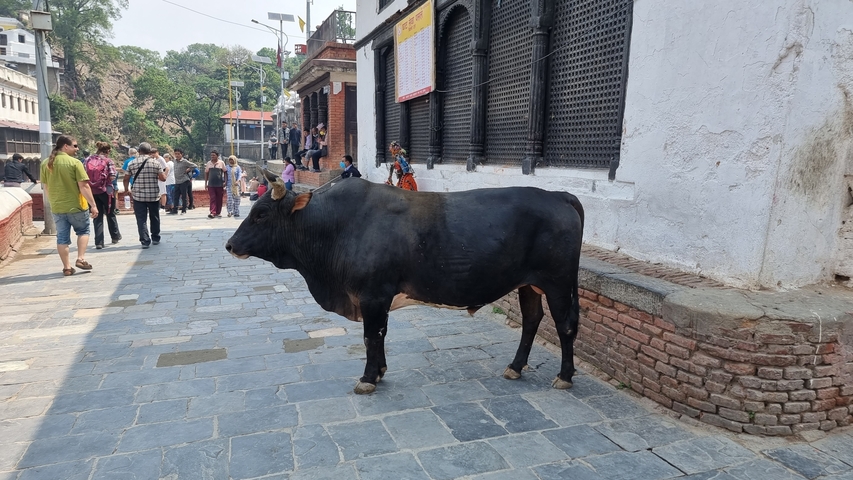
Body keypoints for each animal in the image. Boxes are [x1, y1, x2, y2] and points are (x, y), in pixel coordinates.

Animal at [226, 172, 584, 394]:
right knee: (532, 320)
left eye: (261, 214)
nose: (229, 244)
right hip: (529, 284)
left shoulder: (372, 296)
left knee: (565, 324)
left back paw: (564, 376)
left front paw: (367, 378)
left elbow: (371, 336)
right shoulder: (377, 299)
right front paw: (380, 371)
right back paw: (515, 367)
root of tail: (559, 195)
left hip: (557, 282)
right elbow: (380, 335)